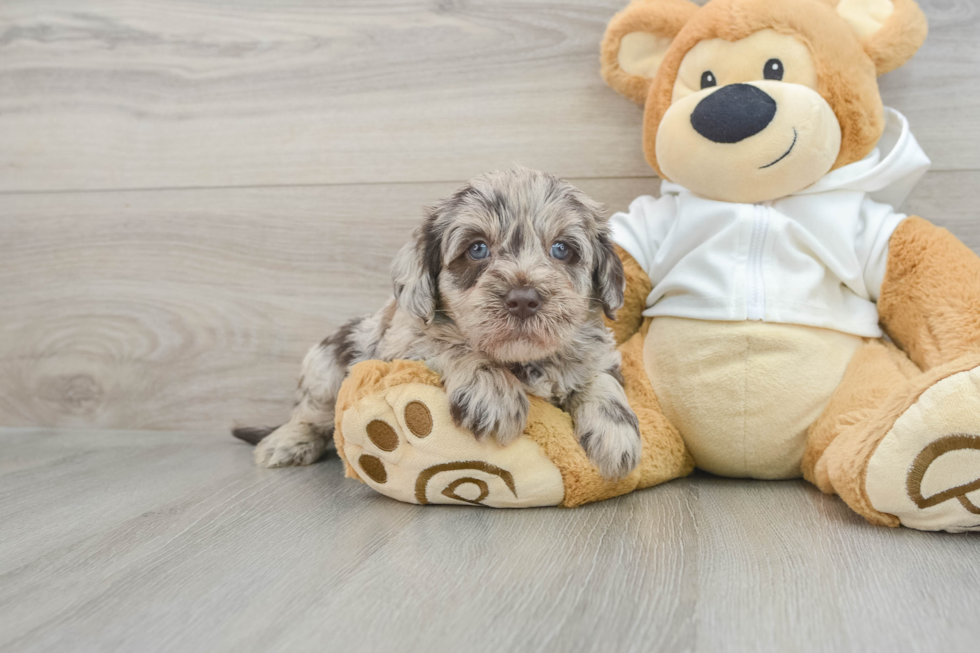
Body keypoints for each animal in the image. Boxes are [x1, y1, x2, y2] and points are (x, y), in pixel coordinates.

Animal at [236, 168, 644, 478]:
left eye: (562, 249)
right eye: (477, 248)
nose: (523, 299)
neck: (520, 360)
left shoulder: (600, 355)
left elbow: (600, 379)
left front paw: (616, 434)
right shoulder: (403, 343)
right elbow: (448, 342)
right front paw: (491, 391)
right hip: (326, 365)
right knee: (310, 414)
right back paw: (286, 442)